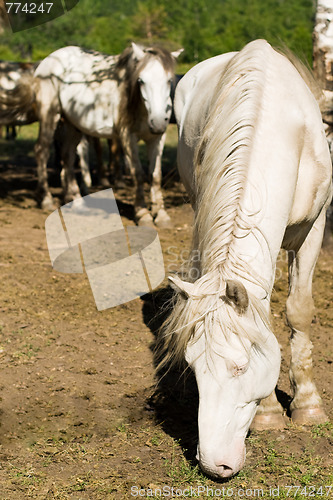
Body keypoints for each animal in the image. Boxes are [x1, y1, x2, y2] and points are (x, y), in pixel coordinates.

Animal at [0, 44, 182, 226]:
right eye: (141, 81)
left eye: (169, 81)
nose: (157, 121)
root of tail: (45, 62)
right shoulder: (126, 136)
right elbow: (138, 173)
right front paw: (142, 213)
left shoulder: (157, 138)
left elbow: (156, 176)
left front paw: (161, 214)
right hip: (50, 115)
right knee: (42, 151)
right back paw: (46, 198)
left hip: (72, 125)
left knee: (68, 156)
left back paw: (77, 201)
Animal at [164, 40, 332, 480]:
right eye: (193, 369)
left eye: (240, 367)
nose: (213, 464)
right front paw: (271, 413)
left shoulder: (314, 228)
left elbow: (298, 309)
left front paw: (308, 406)